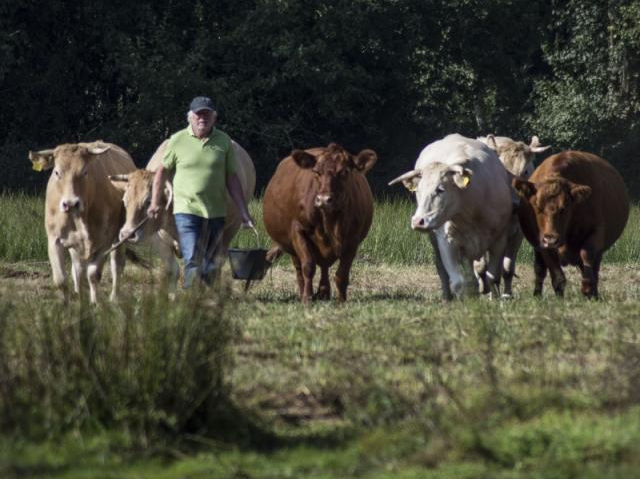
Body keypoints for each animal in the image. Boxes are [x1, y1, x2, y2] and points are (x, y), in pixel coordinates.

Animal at [262, 141, 376, 304]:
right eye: (316, 172)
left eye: (345, 172)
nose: (324, 199)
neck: (331, 222)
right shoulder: (298, 231)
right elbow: (308, 267)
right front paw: (307, 298)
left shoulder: (353, 239)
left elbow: (342, 273)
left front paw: (341, 301)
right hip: (290, 245)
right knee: (300, 271)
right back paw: (306, 293)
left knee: (324, 267)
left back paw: (324, 293)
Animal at [388, 131, 512, 296]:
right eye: (418, 190)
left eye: (440, 189)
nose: (418, 221)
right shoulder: (447, 242)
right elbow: (458, 282)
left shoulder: (500, 240)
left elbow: (492, 277)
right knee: (444, 270)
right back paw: (447, 297)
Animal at [512, 152, 628, 298]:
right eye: (538, 208)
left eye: (564, 208)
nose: (551, 238)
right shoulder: (543, 245)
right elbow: (557, 275)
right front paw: (559, 297)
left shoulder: (595, 234)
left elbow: (587, 257)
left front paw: (587, 288)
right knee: (540, 270)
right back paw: (537, 294)